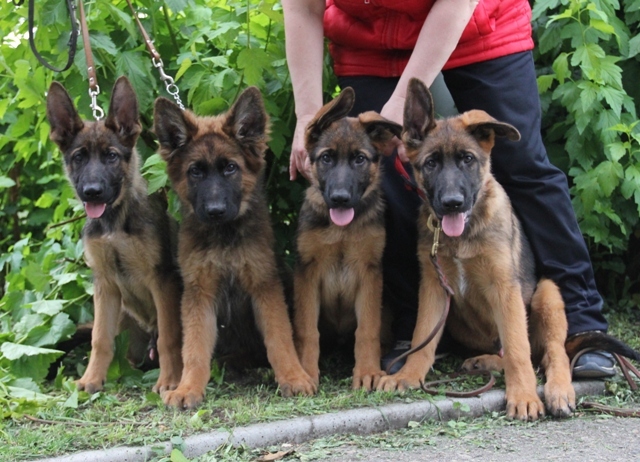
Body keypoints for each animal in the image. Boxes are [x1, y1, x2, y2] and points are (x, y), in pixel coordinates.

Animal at [46, 76, 181, 394]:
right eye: (79, 158)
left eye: (111, 156)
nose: (92, 192)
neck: (114, 222)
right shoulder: (105, 284)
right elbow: (99, 338)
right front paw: (91, 379)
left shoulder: (162, 280)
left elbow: (168, 337)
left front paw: (169, 382)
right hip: (125, 320)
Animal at [154, 85, 316, 408]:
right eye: (195, 172)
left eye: (230, 168)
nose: (215, 211)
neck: (224, 237)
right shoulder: (199, 293)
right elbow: (194, 348)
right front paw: (188, 387)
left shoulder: (264, 285)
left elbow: (280, 338)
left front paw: (293, 377)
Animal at [294, 87, 400, 390]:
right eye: (326, 158)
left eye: (359, 159)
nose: (340, 198)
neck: (342, 230)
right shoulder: (307, 273)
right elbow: (308, 331)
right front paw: (307, 371)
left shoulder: (370, 273)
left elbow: (367, 330)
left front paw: (367, 371)